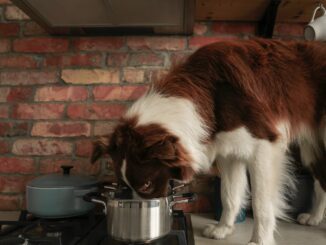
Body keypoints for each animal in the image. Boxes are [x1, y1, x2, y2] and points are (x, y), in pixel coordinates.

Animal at [92, 39, 326, 244]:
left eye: (147, 185)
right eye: (123, 185)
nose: (144, 210)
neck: (210, 93)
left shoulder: (264, 145)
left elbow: (261, 203)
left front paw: (259, 241)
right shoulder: (229, 152)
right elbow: (229, 194)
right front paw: (223, 229)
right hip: (312, 147)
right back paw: (314, 218)